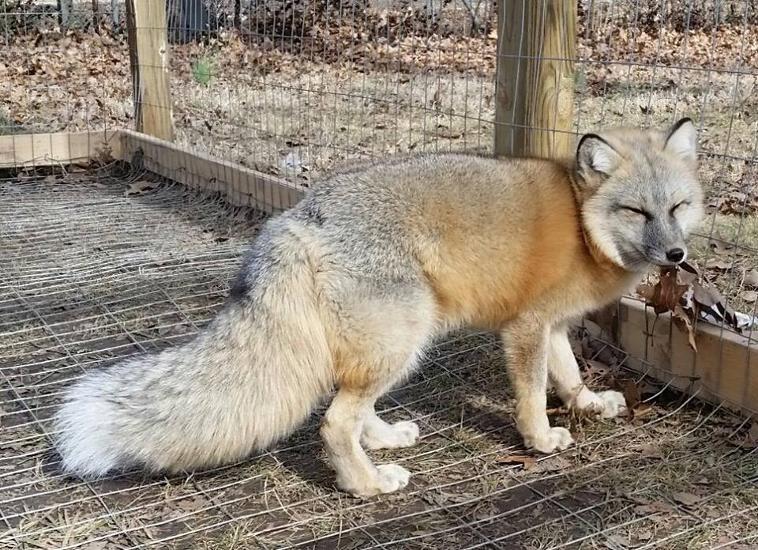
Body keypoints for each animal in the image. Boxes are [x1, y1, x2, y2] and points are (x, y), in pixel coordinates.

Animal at [53, 118, 708, 498]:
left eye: (678, 206)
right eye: (637, 213)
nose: (676, 254)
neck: (581, 223)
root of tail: (297, 217)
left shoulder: (550, 326)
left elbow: (568, 378)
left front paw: (590, 405)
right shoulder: (524, 329)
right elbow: (530, 395)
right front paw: (540, 440)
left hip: (389, 347)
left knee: (351, 405)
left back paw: (386, 440)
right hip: (407, 336)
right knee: (333, 422)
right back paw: (367, 486)